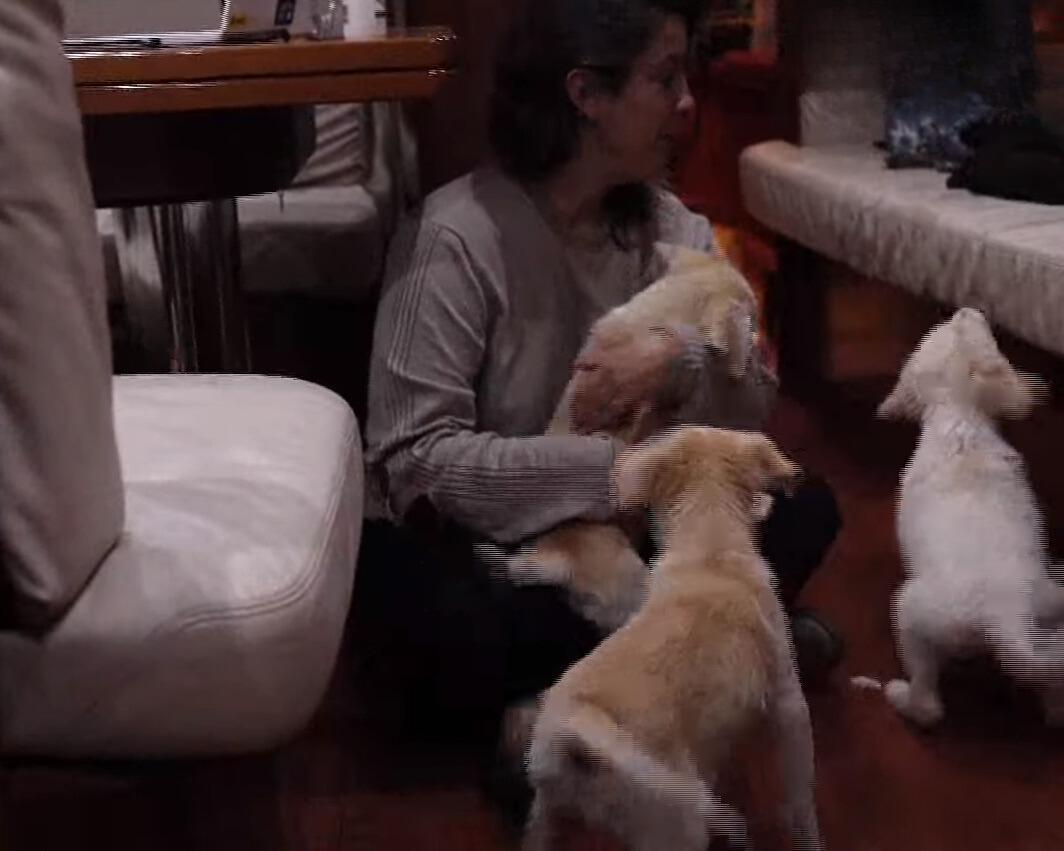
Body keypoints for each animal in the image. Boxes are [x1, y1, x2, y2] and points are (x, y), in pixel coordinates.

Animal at [519, 429, 817, 851]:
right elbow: (800, 793)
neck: (710, 550)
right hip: (672, 830)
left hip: (548, 813)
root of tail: (580, 732)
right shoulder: (787, 701)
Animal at [876, 306, 1064, 723]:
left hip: (911, 611)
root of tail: (1005, 615)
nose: (966, 309)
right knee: (1052, 690)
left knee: (928, 705)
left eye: (957, 325)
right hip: (1047, 612)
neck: (959, 420)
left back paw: (900, 696)